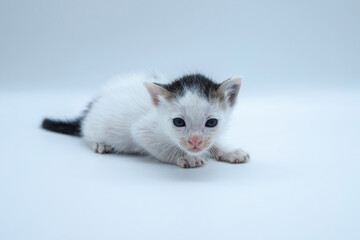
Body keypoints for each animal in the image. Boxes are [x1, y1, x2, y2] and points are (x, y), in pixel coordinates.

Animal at [42, 72, 249, 168]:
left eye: (212, 122)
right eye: (179, 122)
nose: (195, 141)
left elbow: (214, 143)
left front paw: (230, 151)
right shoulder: (143, 130)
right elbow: (161, 147)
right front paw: (186, 157)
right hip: (94, 126)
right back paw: (100, 144)